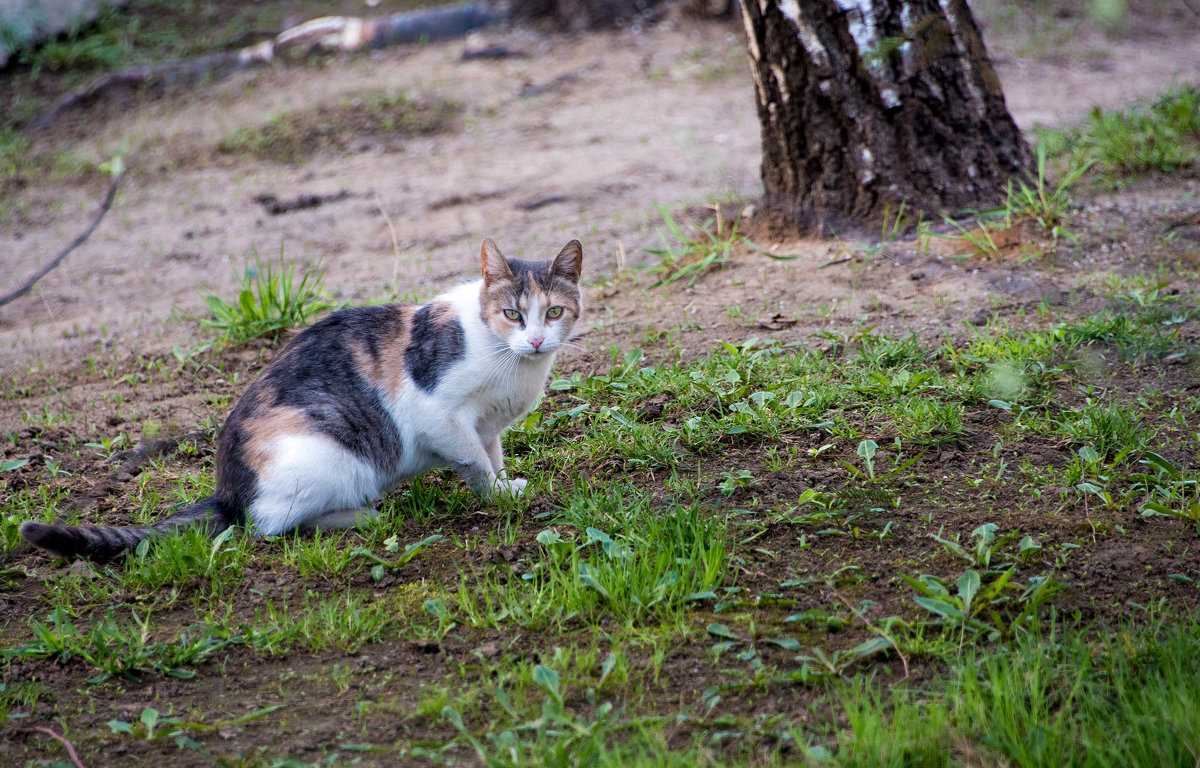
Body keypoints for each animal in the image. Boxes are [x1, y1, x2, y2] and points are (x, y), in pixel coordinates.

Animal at [17, 237, 580, 561]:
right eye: (512, 314)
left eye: (553, 312)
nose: (535, 340)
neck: (513, 363)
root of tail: (228, 490)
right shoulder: (439, 415)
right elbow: (472, 461)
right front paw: (497, 494)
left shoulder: (487, 426)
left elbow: (492, 454)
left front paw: (507, 484)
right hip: (333, 456)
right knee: (269, 527)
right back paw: (362, 515)